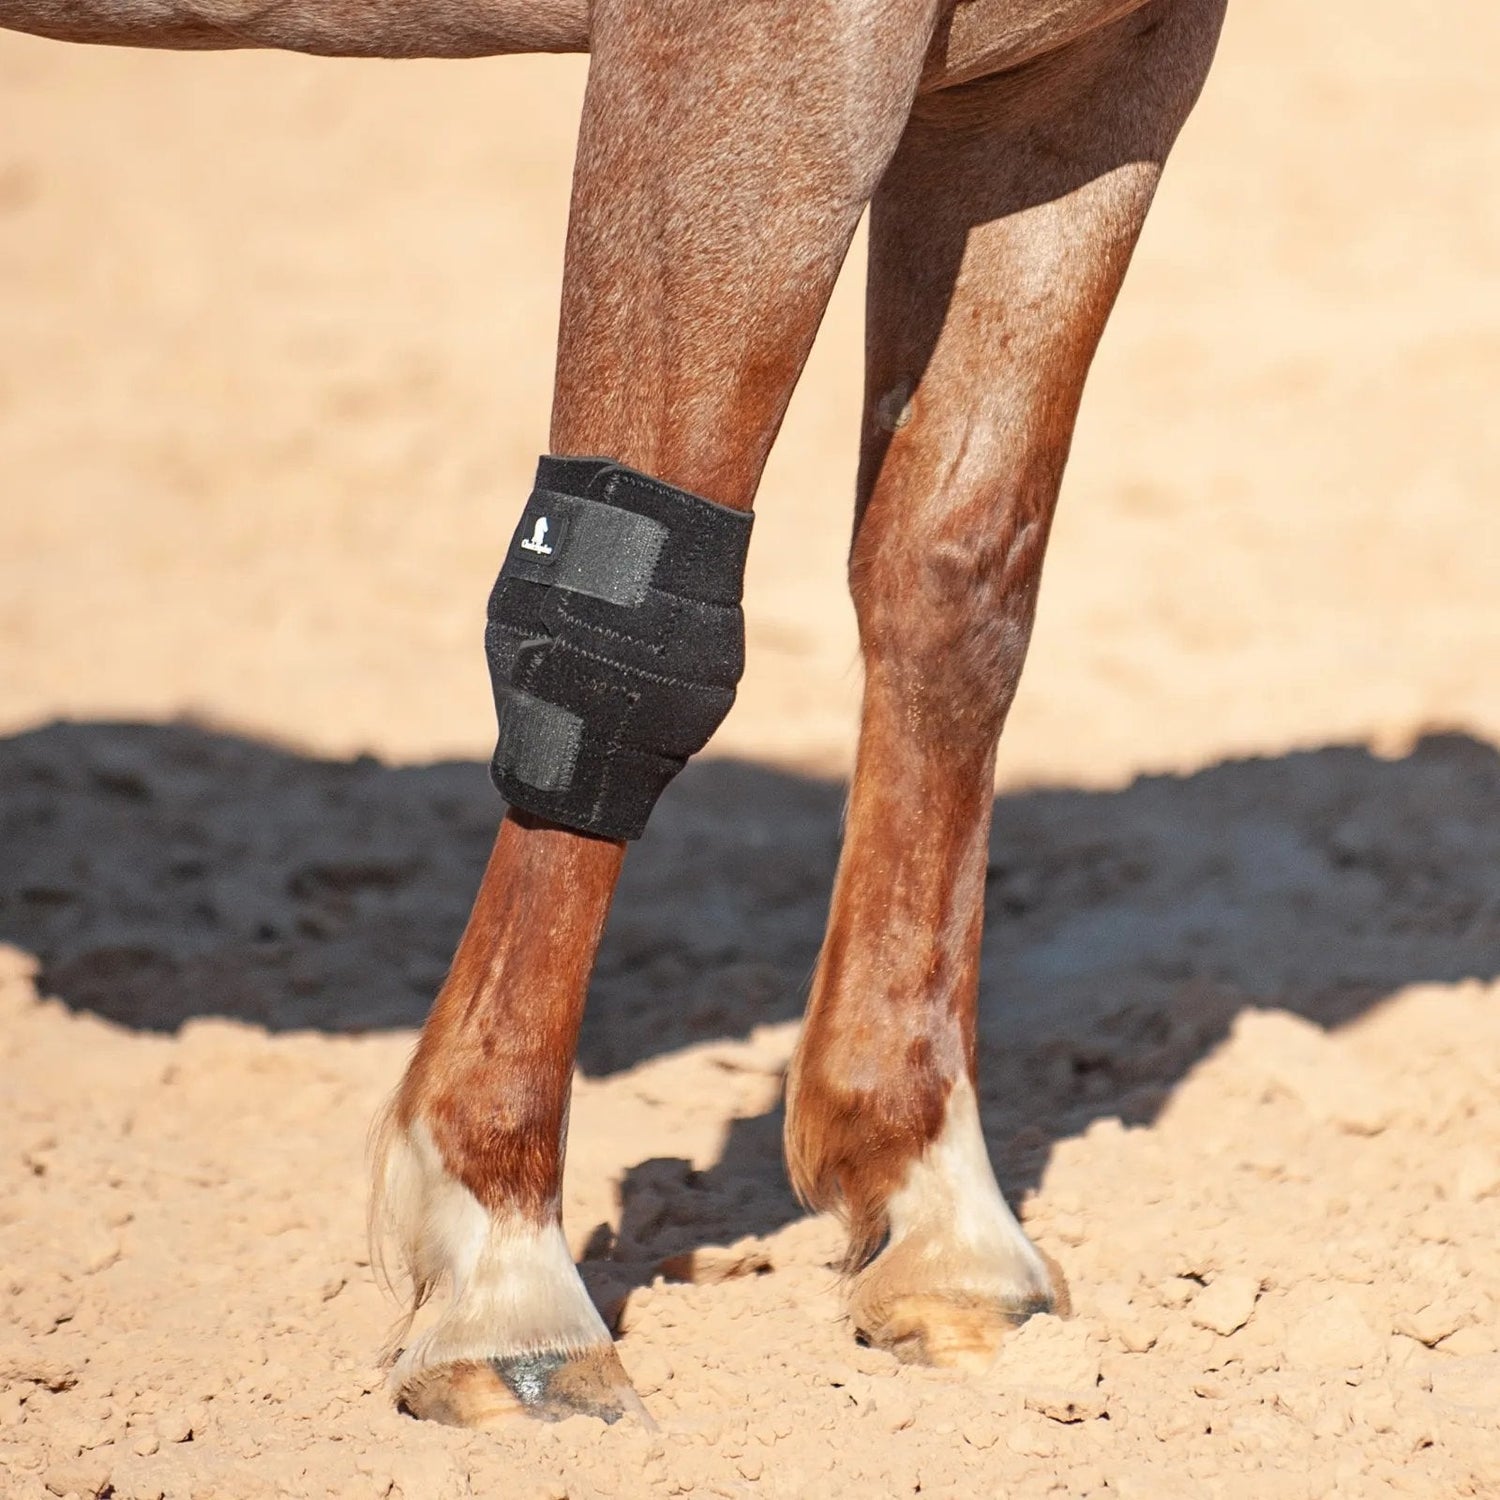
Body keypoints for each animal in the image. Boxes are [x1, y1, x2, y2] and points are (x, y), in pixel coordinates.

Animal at [1, 0, 1229, 1427]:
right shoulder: (749, 50)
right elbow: (629, 621)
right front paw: (503, 1269)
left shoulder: (1085, 77)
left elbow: (957, 572)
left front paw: (938, 1207)